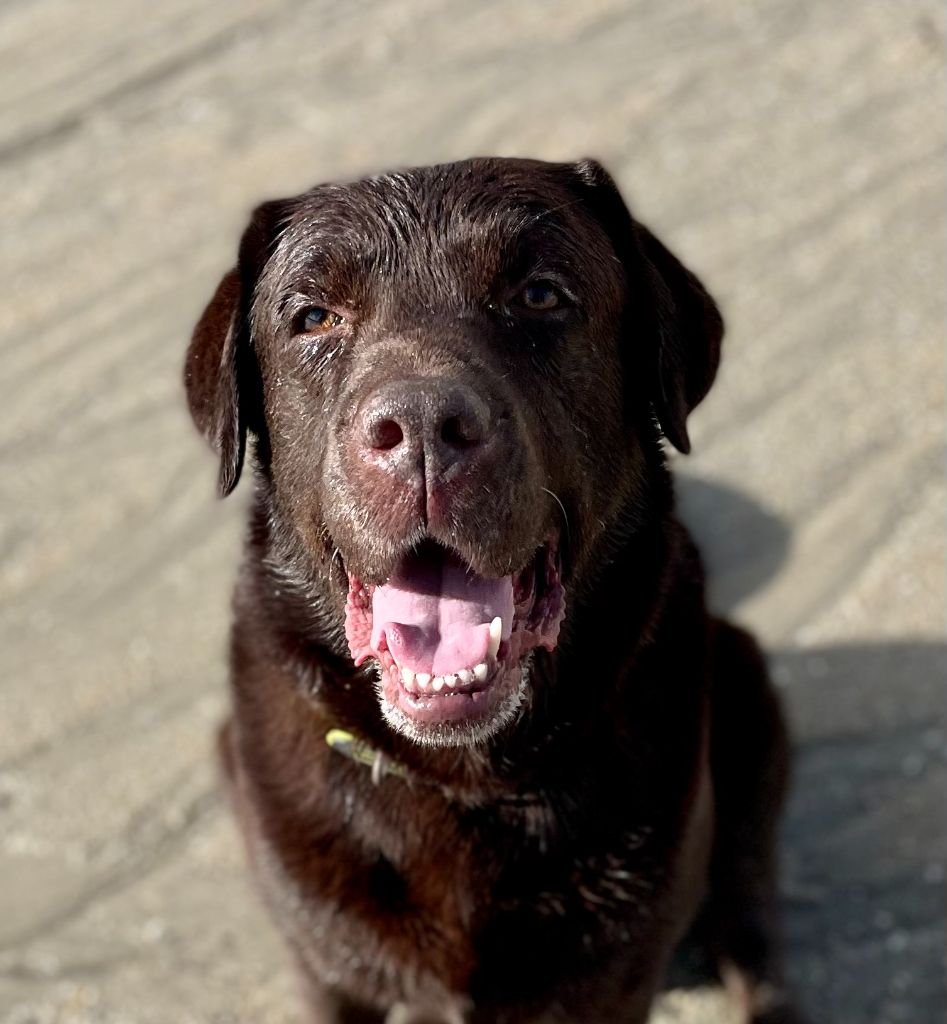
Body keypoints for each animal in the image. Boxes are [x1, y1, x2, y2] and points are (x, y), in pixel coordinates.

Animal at [183, 155, 798, 1019]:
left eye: (538, 294)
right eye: (313, 317)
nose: (420, 426)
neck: (467, 779)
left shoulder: (612, 980)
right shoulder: (325, 969)